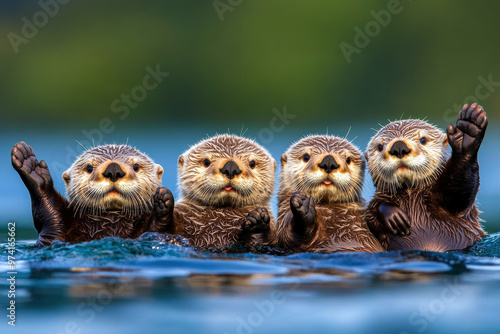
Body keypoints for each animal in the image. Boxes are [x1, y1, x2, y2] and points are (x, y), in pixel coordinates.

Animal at [366, 103, 486, 252]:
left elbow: (459, 190)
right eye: (380, 146)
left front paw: (468, 131)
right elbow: (370, 214)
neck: (411, 196)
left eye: (423, 140)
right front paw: (392, 215)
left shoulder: (452, 201)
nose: (399, 146)